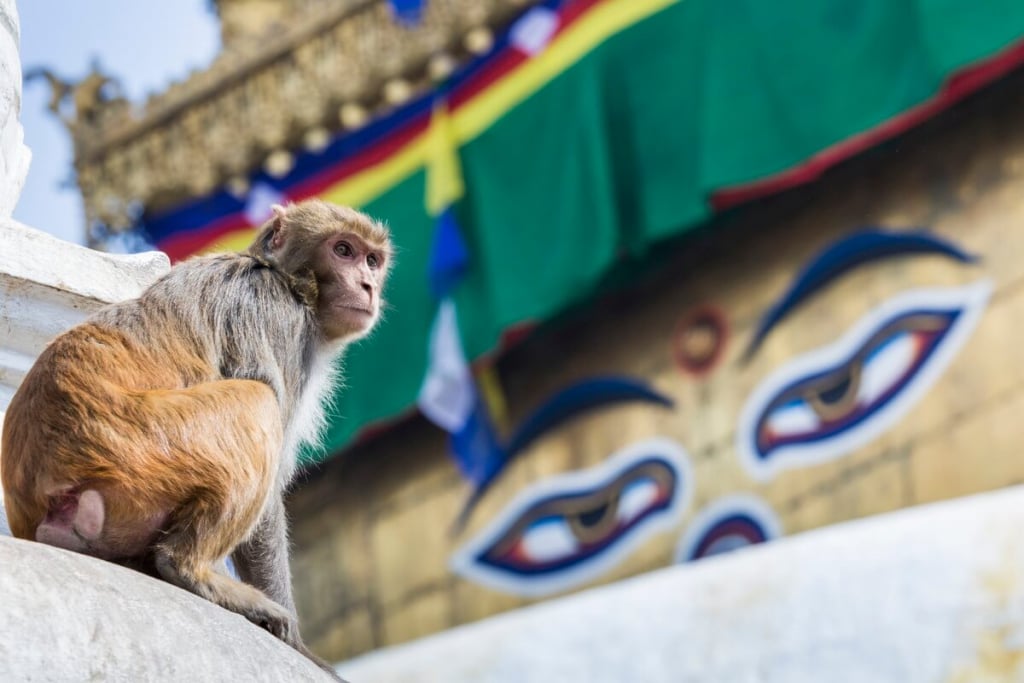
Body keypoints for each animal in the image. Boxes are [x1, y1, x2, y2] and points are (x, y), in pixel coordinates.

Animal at [1, 198, 391, 679]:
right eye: (343, 250)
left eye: (372, 260)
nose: (367, 285)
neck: (287, 280)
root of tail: (43, 489)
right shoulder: (276, 318)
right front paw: (299, 646)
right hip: (146, 448)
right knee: (258, 401)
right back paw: (189, 570)